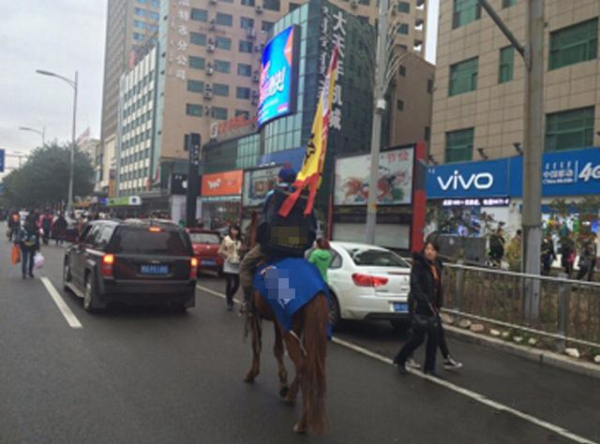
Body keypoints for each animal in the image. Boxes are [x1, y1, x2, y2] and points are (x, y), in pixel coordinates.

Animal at [241, 211, 330, 434]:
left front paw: (252, 373)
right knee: (307, 362)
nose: (242, 248)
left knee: (303, 365)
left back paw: (302, 422)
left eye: (246, 233)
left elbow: (257, 345)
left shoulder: (257, 316)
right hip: (302, 328)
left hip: (289, 327)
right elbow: (277, 349)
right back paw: (291, 396)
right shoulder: (279, 320)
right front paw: (283, 384)